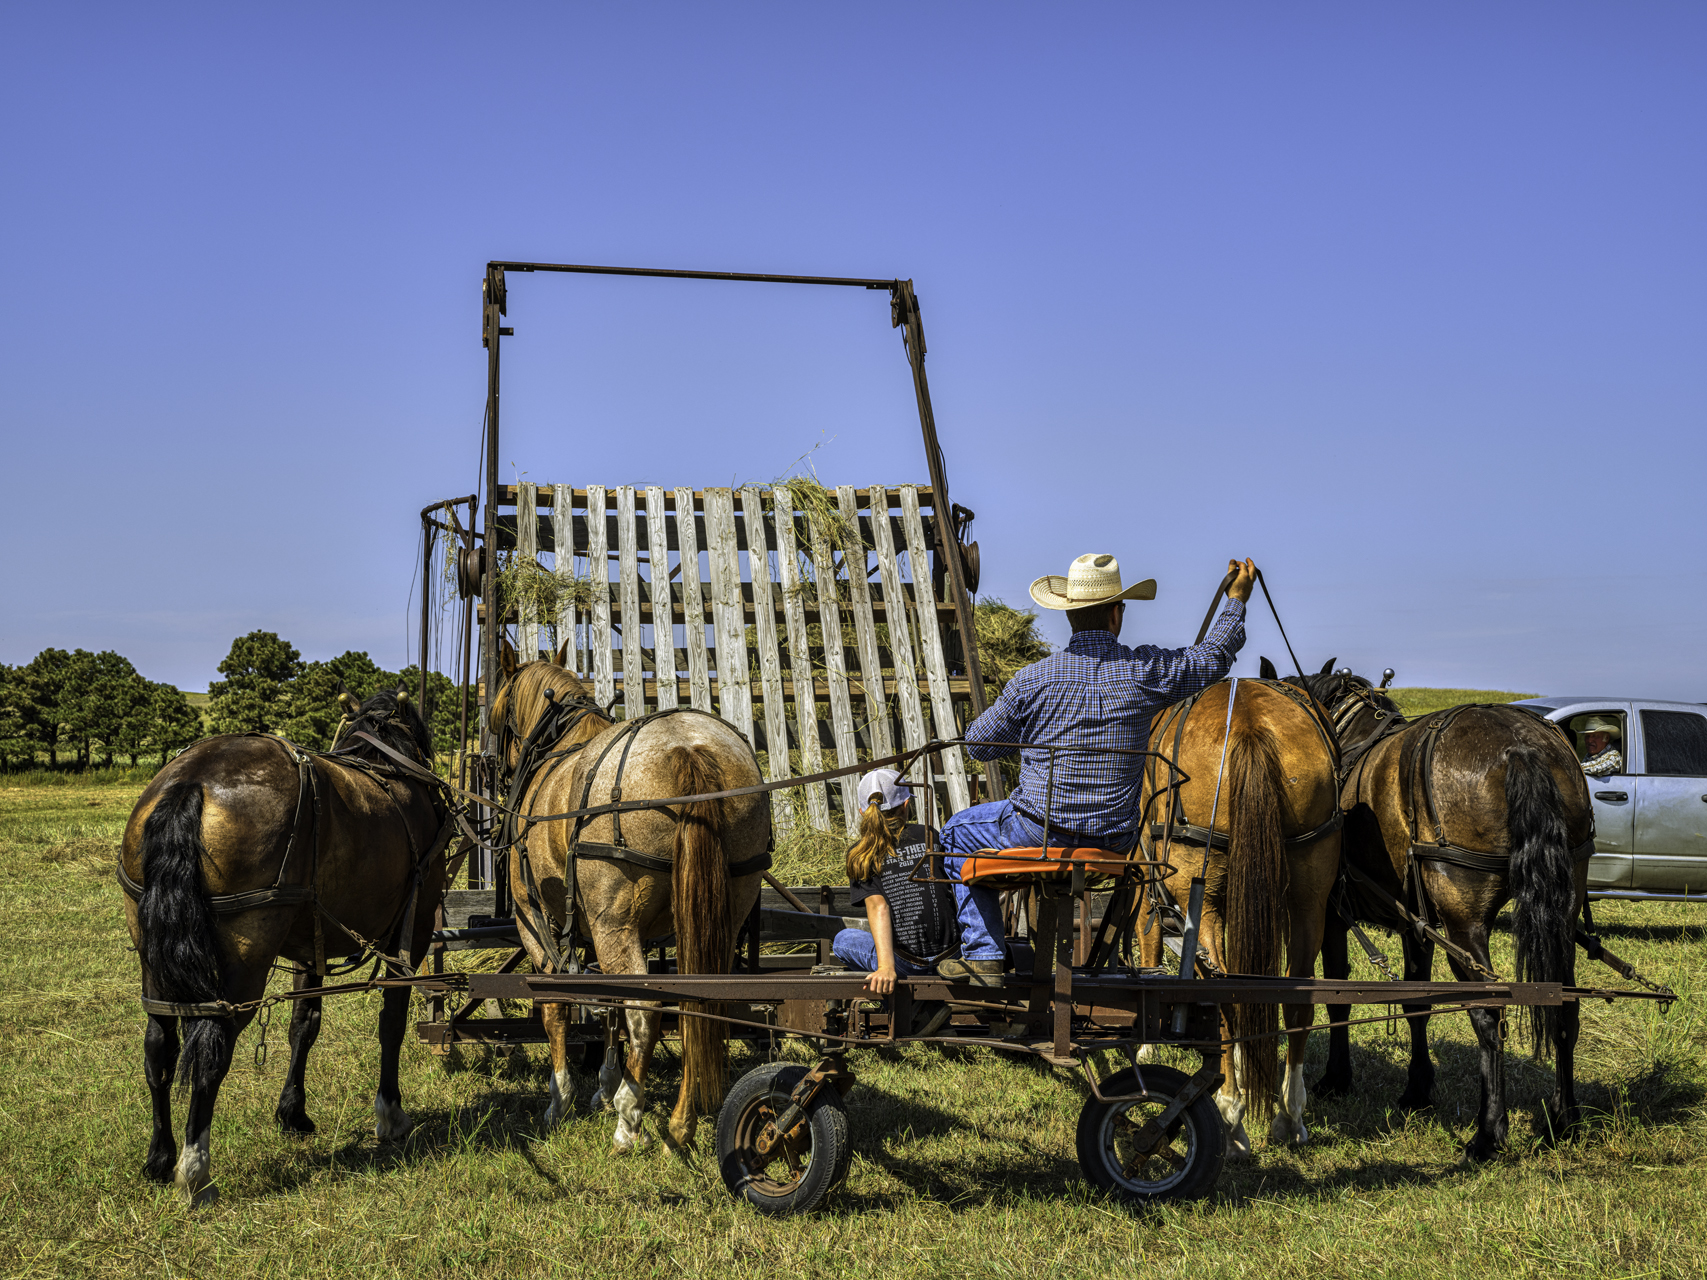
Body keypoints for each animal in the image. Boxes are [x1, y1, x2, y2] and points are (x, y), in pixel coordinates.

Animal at [122, 692, 454, 1201]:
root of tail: (191, 781)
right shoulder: (411, 935)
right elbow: (392, 1022)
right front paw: (390, 1112)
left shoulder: (306, 943)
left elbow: (304, 1025)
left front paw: (292, 1112)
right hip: (245, 960)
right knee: (213, 1050)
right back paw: (195, 1169)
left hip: (152, 953)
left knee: (159, 1045)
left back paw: (160, 1158)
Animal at [488, 645, 768, 1160]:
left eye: (497, 716)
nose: (499, 772)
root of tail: (688, 748)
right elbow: (609, 1003)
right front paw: (604, 1083)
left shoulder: (535, 920)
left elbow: (557, 1006)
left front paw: (562, 1098)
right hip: (725, 905)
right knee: (698, 1005)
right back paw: (679, 1126)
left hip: (612, 921)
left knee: (647, 1011)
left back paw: (629, 1120)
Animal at [1133, 682, 1345, 1160]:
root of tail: (1249, 724)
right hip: (1309, 890)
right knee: (1297, 990)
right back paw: (1289, 1115)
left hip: (1202, 893)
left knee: (1221, 989)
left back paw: (1231, 1117)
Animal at [1283, 662, 1597, 1160]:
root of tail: (1522, 747)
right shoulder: (1416, 923)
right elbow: (1417, 1002)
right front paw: (1417, 1089)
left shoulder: (1331, 914)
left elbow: (1337, 997)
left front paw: (1337, 1078)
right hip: (1561, 914)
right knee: (1564, 1007)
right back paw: (1564, 1119)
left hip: (1463, 925)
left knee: (1490, 1014)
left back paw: (1488, 1133)